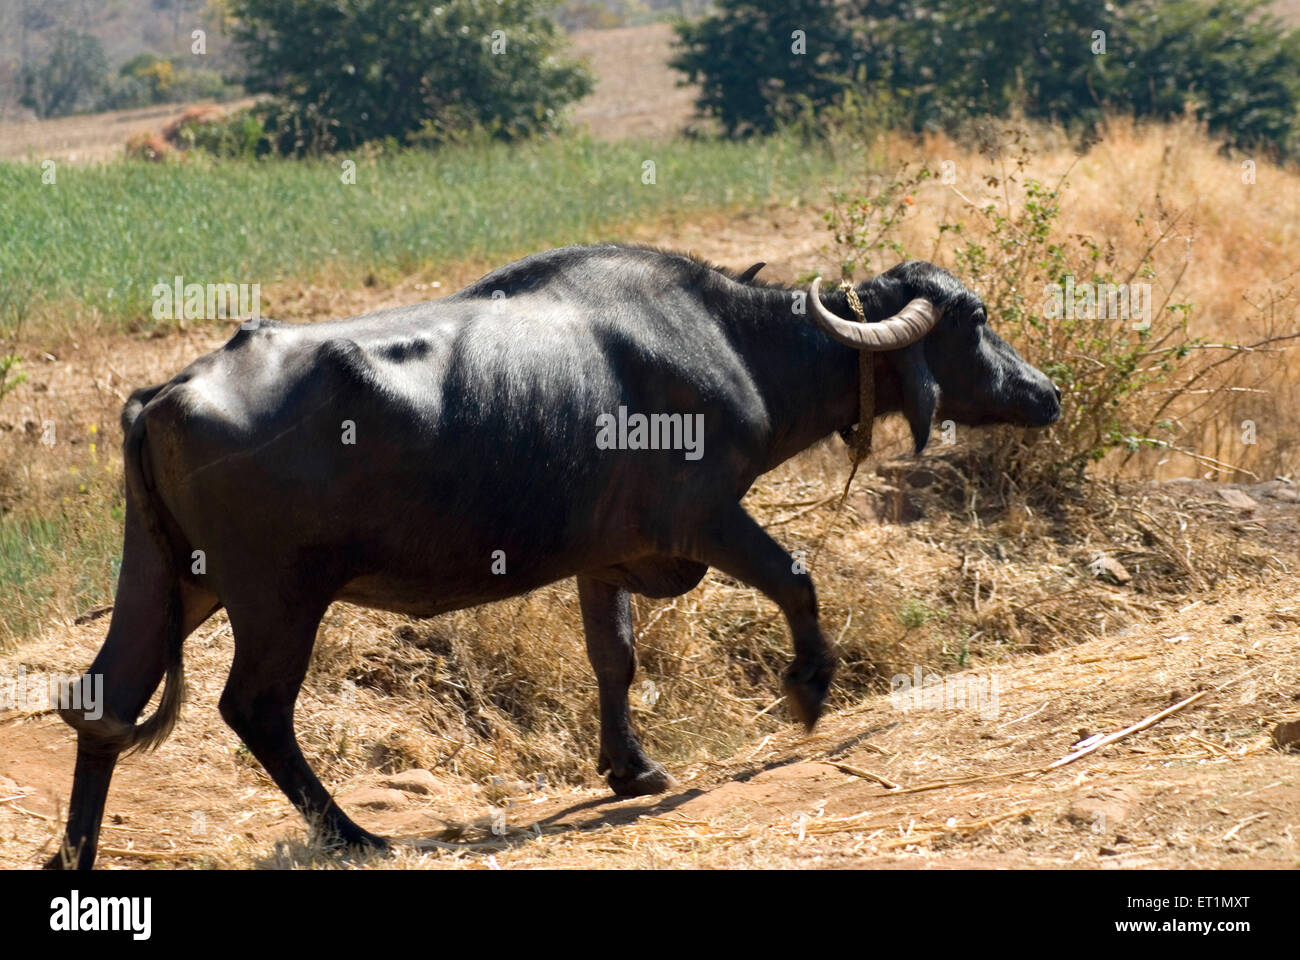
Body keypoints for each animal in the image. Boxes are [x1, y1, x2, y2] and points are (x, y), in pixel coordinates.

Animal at [48, 243, 1055, 863]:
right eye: (974, 317)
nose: (1045, 393)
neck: (732, 345)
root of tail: (163, 394)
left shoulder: (605, 559)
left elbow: (614, 658)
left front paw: (631, 767)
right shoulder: (707, 519)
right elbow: (797, 579)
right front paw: (809, 688)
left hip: (167, 582)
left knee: (104, 701)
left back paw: (76, 852)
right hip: (279, 599)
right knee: (254, 708)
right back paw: (356, 835)